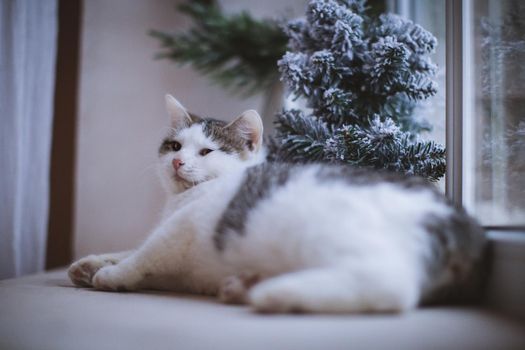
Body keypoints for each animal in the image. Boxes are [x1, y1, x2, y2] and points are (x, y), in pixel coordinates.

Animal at [69, 94, 488, 314]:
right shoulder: (181, 265)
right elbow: (131, 250)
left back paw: (273, 292)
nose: (176, 162)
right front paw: (90, 264)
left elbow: (145, 254)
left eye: (205, 151)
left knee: (389, 285)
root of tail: (461, 223)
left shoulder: (183, 228)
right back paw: (245, 284)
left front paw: (111, 275)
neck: (182, 199)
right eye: (174, 146)